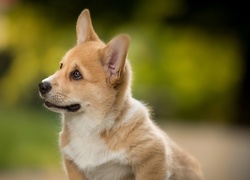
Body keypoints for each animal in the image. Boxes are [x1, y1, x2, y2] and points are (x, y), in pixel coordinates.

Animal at [39, 8, 203, 180]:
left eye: (76, 74)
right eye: (61, 66)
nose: (41, 86)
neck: (89, 127)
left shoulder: (154, 157)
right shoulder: (72, 165)